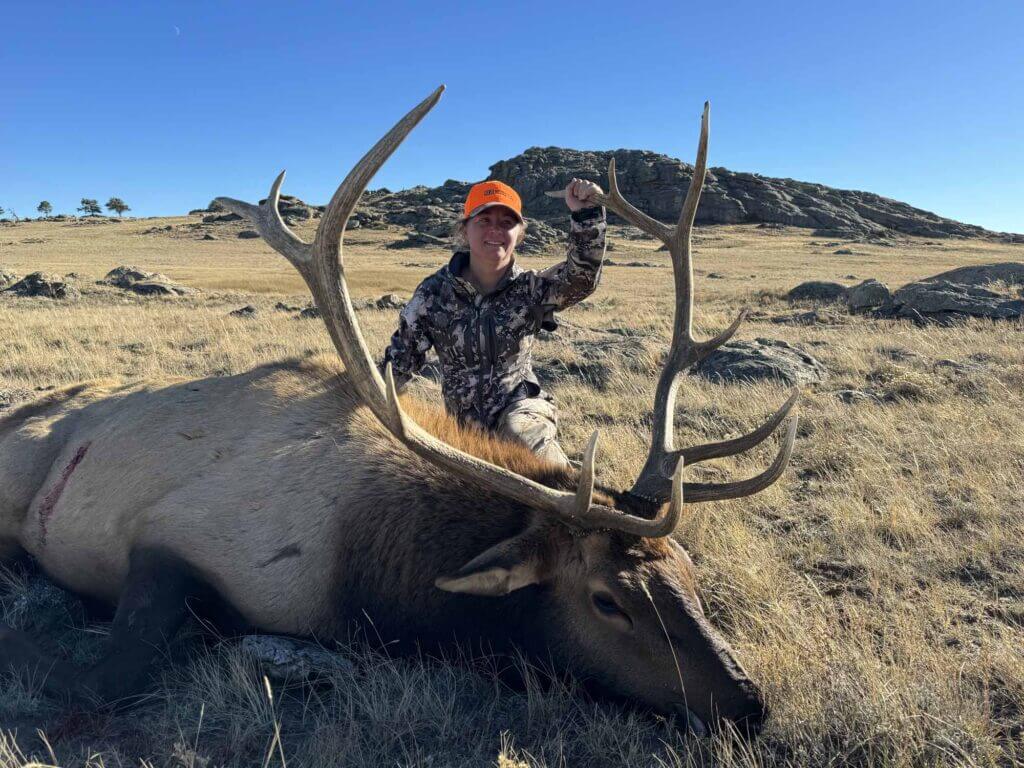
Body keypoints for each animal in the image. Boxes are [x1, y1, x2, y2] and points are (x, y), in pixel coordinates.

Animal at [0, 86, 798, 738]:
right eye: (608, 601)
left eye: (689, 572)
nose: (750, 703)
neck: (373, 570)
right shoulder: (173, 540)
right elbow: (100, 682)